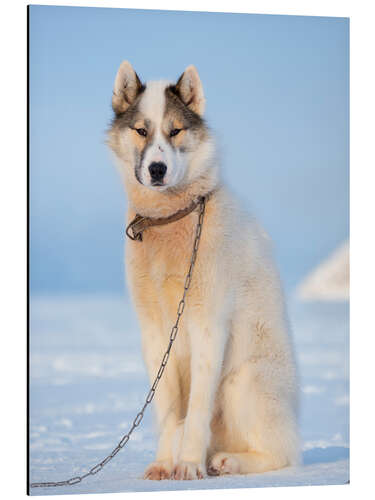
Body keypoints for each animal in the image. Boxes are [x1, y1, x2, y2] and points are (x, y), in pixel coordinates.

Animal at [107, 62, 302, 480]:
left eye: (175, 130)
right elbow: (168, 413)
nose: (157, 169)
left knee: (283, 454)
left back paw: (227, 461)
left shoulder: (208, 324)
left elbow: (194, 410)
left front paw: (188, 466)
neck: (172, 219)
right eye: (142, 131)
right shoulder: (155, 334)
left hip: (243, 383)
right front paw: (164, 465)